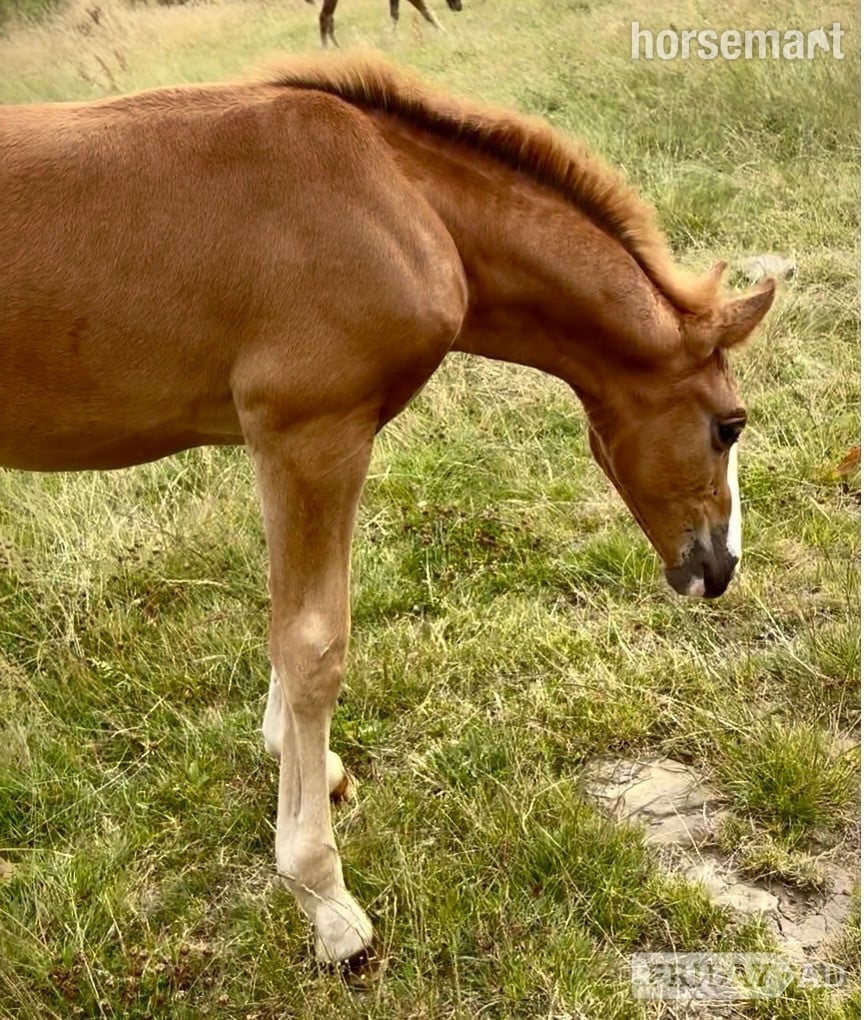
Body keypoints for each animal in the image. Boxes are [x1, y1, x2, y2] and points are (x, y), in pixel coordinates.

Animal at [0, 54, 774, 974]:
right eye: (729, 426)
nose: (718, 567)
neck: (395, 194)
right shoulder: (313, 432)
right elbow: (313, 644)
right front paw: (325, 902)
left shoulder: (281, 445)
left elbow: (287, 622)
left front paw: (306, 764)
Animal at [307, 0, 462, 47]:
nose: (458, 7)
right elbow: (426, 12)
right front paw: (445, 33)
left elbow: (394, 14)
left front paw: (390, 37)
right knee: (325, 17)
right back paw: (327, 49)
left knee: (329, 19)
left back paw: (338, 47)